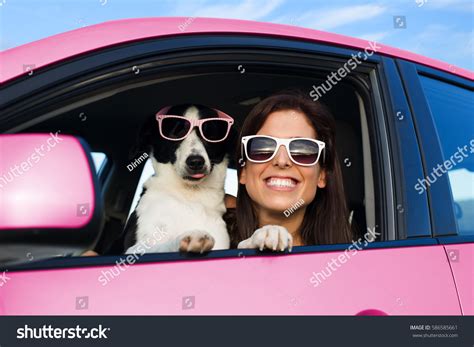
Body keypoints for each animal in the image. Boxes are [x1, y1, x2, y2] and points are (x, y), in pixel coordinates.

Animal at [123, 104, 236, 254]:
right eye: (175, 133)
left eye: (210, 134)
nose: (196, 162)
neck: (189, 196)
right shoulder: (133, 248)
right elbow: (161, 246)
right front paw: (189, 237)